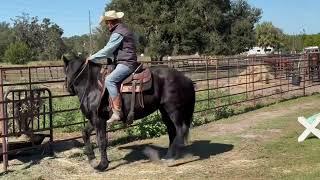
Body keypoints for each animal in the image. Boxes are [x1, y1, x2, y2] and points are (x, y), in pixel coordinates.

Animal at [62, 56, 195, 172]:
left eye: (65, 70)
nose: (68, 88)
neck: (93, 86)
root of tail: (186, 79)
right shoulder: (94, 119)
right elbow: (84, 133)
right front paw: (92, 159)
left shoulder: (99, 120)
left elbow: (101, 141)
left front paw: (102, 165)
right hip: (165, 111)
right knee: (172, 130)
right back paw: (169, 156)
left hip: (174, 110)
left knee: (181, 129)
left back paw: (174, 156)